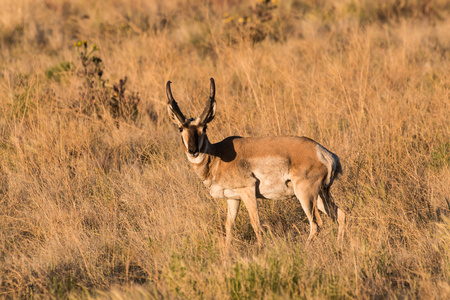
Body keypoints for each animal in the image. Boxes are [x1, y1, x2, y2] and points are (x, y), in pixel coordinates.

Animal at [167, 78, 346, 247]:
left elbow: (256, 224)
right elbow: (229, 226)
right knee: (341, 215)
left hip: (305, 194)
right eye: (180, 128)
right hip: (321, 195)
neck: (217, 155)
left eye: (204, 128)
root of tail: (323, 153)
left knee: (316, 224)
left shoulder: (248, 191)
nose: (192, 150)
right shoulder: (233, 198)